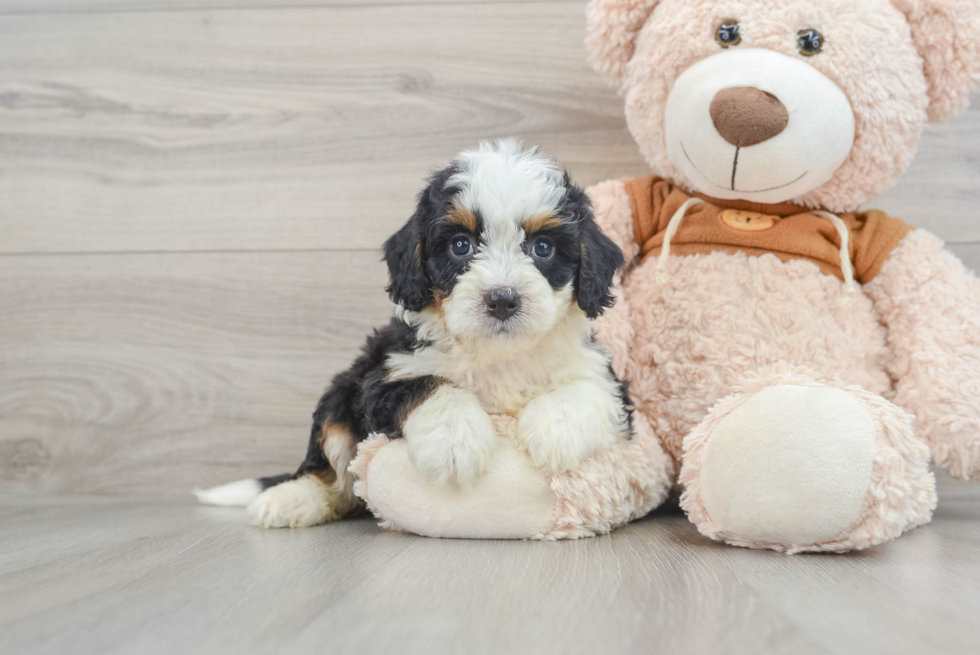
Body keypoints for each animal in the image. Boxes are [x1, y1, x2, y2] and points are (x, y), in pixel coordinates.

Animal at [195, 140, 632, 528]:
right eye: (461, 245)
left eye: (543, 248)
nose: (502, 299)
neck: (496, 354)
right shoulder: (384, 374)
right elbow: (429, 385)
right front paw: (454, 442)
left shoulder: (604, 376)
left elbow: (591, 387)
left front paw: (557, 430)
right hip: (340, 394)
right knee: (330, 468)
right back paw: (290, 499)